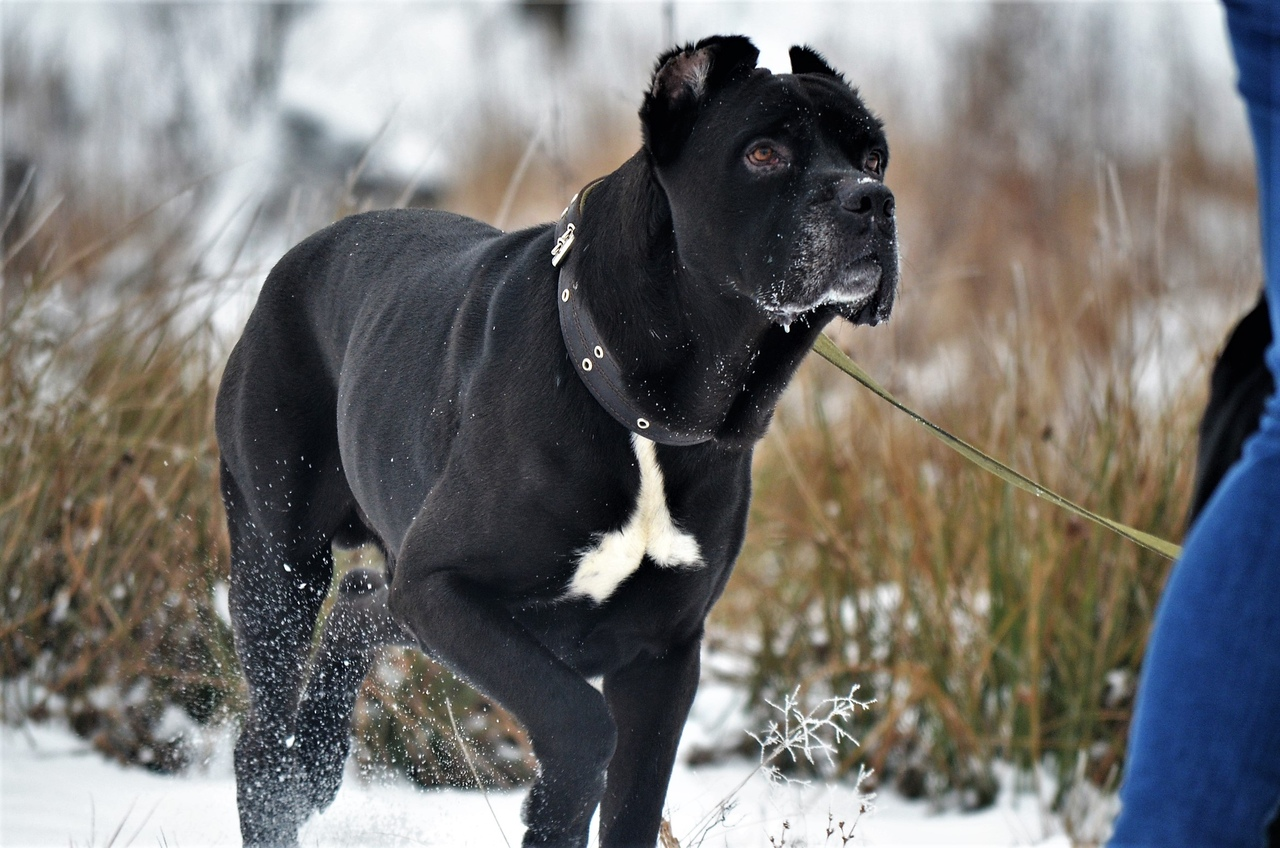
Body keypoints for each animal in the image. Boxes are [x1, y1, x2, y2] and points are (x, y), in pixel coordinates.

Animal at [217, 36, 901, 848]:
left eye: (874, 154)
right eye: (764, 153)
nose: (873, 199)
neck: (649, 415)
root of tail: (293, 261)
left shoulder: (664, 651)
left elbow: (633, 800)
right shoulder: (443, 585)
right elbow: (580, 720)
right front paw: (554, 806)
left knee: (358, 607)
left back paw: (320, 758)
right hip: (280, 560)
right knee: (264, 744)